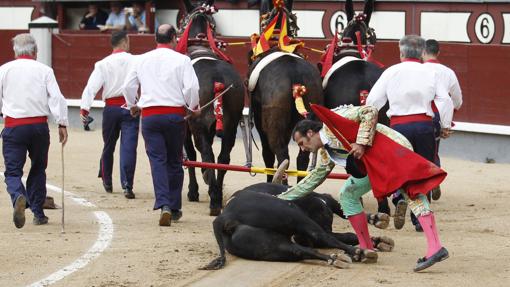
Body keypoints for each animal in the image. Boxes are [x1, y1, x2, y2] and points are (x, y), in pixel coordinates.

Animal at [180, 0, 246, 216]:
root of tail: (217, 78)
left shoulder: (186, 126)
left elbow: (192, 155)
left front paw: (193, 191)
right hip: (231, 126)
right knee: (223, 157)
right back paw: (216, 193)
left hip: (197, 124)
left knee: (206, 155)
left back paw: (214, 199)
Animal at [201, 183, 392, 272]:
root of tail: (225, 216)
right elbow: (342, 225)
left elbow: (347, 233)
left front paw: (378, 239)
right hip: (293, 217)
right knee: (321, 237)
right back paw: (360, 253)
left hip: (269, 246)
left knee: (302, 250)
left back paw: (338, 258)